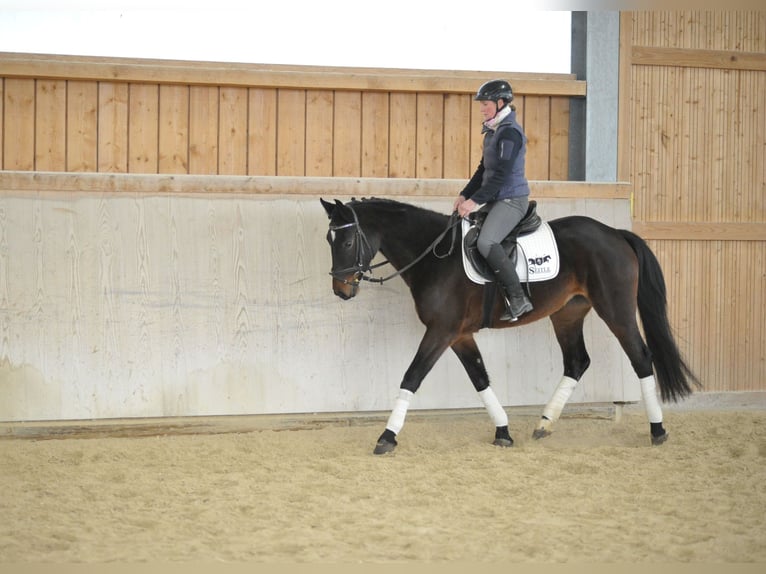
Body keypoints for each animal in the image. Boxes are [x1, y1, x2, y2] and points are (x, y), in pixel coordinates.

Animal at [320, 196, 704, 456]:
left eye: (348, 241)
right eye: (329, 241)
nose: (341, 290)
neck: (434, 256)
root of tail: (615, 233)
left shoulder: (441, 331)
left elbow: (412, 377)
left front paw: (387, 436)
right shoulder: (459, 335)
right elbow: (480, 378)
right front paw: (503, 431)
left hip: (616, 310)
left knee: (640, 358)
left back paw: (657, 429)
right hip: (567, 314)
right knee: (577, 362)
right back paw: (544, 423)